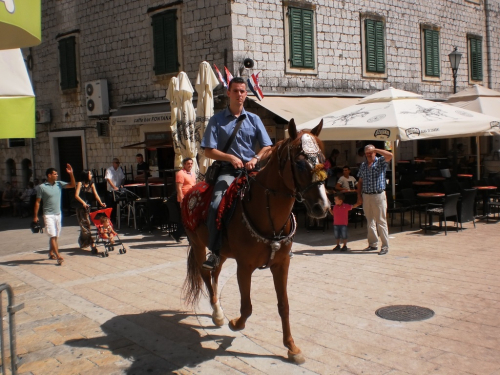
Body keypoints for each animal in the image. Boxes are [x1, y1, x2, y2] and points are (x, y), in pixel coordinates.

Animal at [183, 119, 328, 364]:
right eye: (299, 164)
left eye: (323, 160)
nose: (322, 207)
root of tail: (190, 191)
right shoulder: (244, 267)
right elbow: (247, 307)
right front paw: (235, 324)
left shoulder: (281, 265)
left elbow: (284, 305)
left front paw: (292, 347)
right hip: (198, 244)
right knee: (205, 274)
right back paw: (218, 314)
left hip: (221, 252)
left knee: (216, 273)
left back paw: (217, 309)